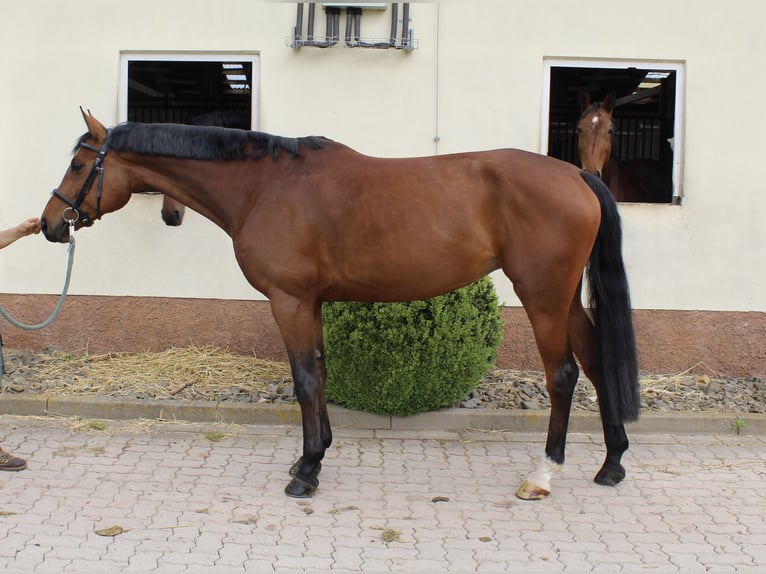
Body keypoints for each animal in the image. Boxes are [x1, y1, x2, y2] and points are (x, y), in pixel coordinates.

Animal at [41, 110, 639, 501]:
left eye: (79, 165)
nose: (50, 224)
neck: (266, 186)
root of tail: (576, 173)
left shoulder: (289, 301)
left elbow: (305, 379)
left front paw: (305, 473)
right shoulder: (312, 303)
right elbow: (321, 375)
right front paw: (316, 453)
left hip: (543, 297)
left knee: (564, 374)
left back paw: (543, 475)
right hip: (563, 299)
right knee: (596, 360)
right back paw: (611, 463)